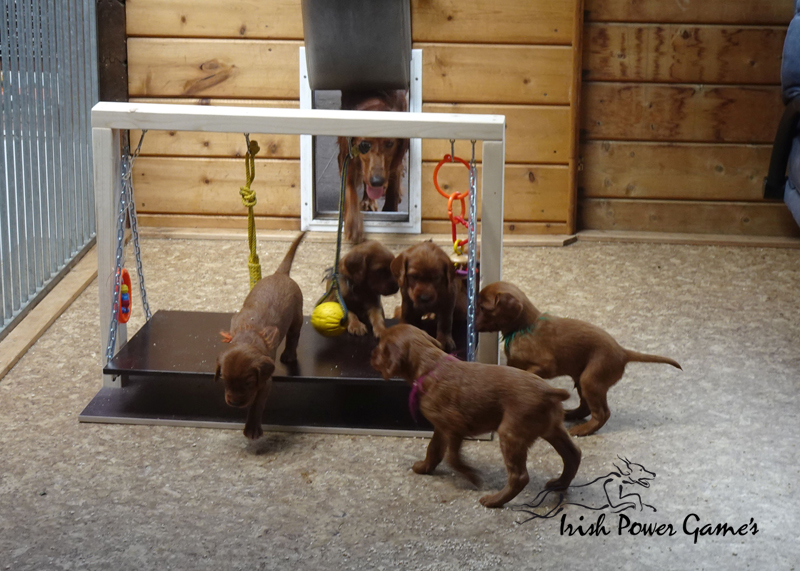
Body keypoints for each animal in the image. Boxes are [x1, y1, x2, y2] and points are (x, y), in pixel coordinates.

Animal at [215, 232, 306, 440]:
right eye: (224, 379)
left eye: (249, 383)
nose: (234, 403)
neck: (248, 336)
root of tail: (280, 274)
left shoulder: (265, 382)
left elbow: (257, 404)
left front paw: (252, 428)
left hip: (297, 314)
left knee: (294, 334)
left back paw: (289, 355)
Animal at [338, 90, 408, 244]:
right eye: (364, 144)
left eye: (389, 143)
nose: (377, 181)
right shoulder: (345, 153)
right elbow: (348, 187)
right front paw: (353, 222)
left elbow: (394, 186)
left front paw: (390, 206)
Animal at [370, 324, 582, 508]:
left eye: (379, 346)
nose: (371, 357)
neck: (431, 365)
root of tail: (550, 391)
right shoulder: (441, 427)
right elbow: (434, 449)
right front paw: (424, 468)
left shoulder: (455, 427)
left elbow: (452, 458)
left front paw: (472, 476)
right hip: (551, 429)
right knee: (573, 454)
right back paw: (560, 483)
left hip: (511, 433)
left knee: (520, 476)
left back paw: (494, 501)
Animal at [475, 281, 682, 437]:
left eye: (482, 307)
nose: (471, 324)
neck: (523, 328)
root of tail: (623, 352)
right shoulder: (513, 363)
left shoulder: (547, 365)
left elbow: (533, 372)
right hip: (582, 379)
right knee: (586, 407)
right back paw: (570, 415)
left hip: (591, 379)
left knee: (602, 413)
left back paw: (583, 430)